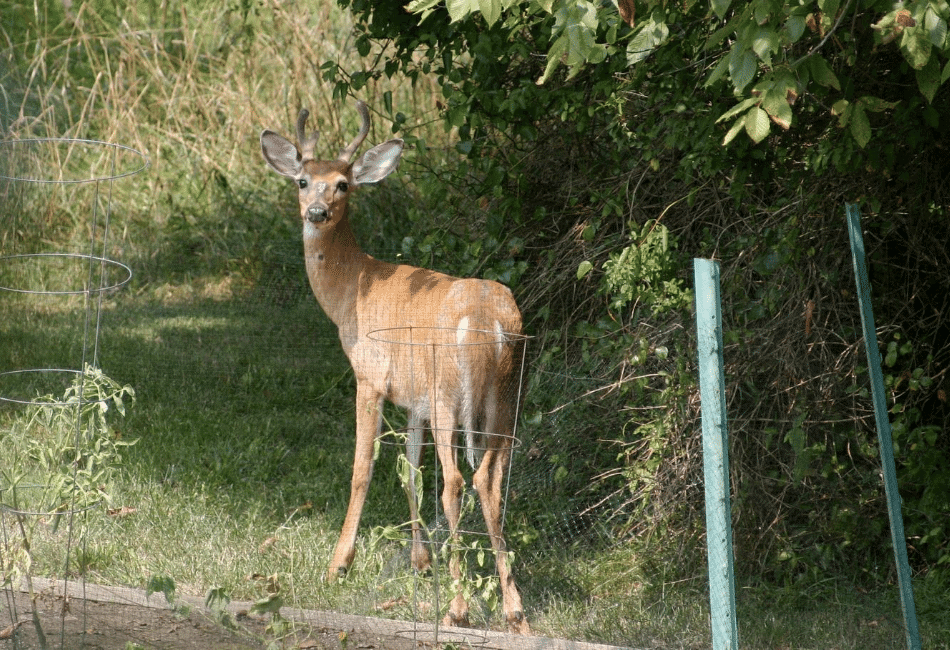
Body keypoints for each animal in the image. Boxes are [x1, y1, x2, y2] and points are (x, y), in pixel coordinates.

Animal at [259, 100, 530, 635]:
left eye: (343, 184)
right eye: (303, 180)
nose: (316, 212)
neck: (352, 291)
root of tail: (491, 322)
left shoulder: (370, 376)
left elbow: (363, 468)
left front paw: (338, 564)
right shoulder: (414, 400)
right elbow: (409, 471)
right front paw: (420, 562)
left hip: (451, 393)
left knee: (457, 482)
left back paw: (458, 607)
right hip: (506, 396)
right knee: (491, 478)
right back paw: (514, 611)